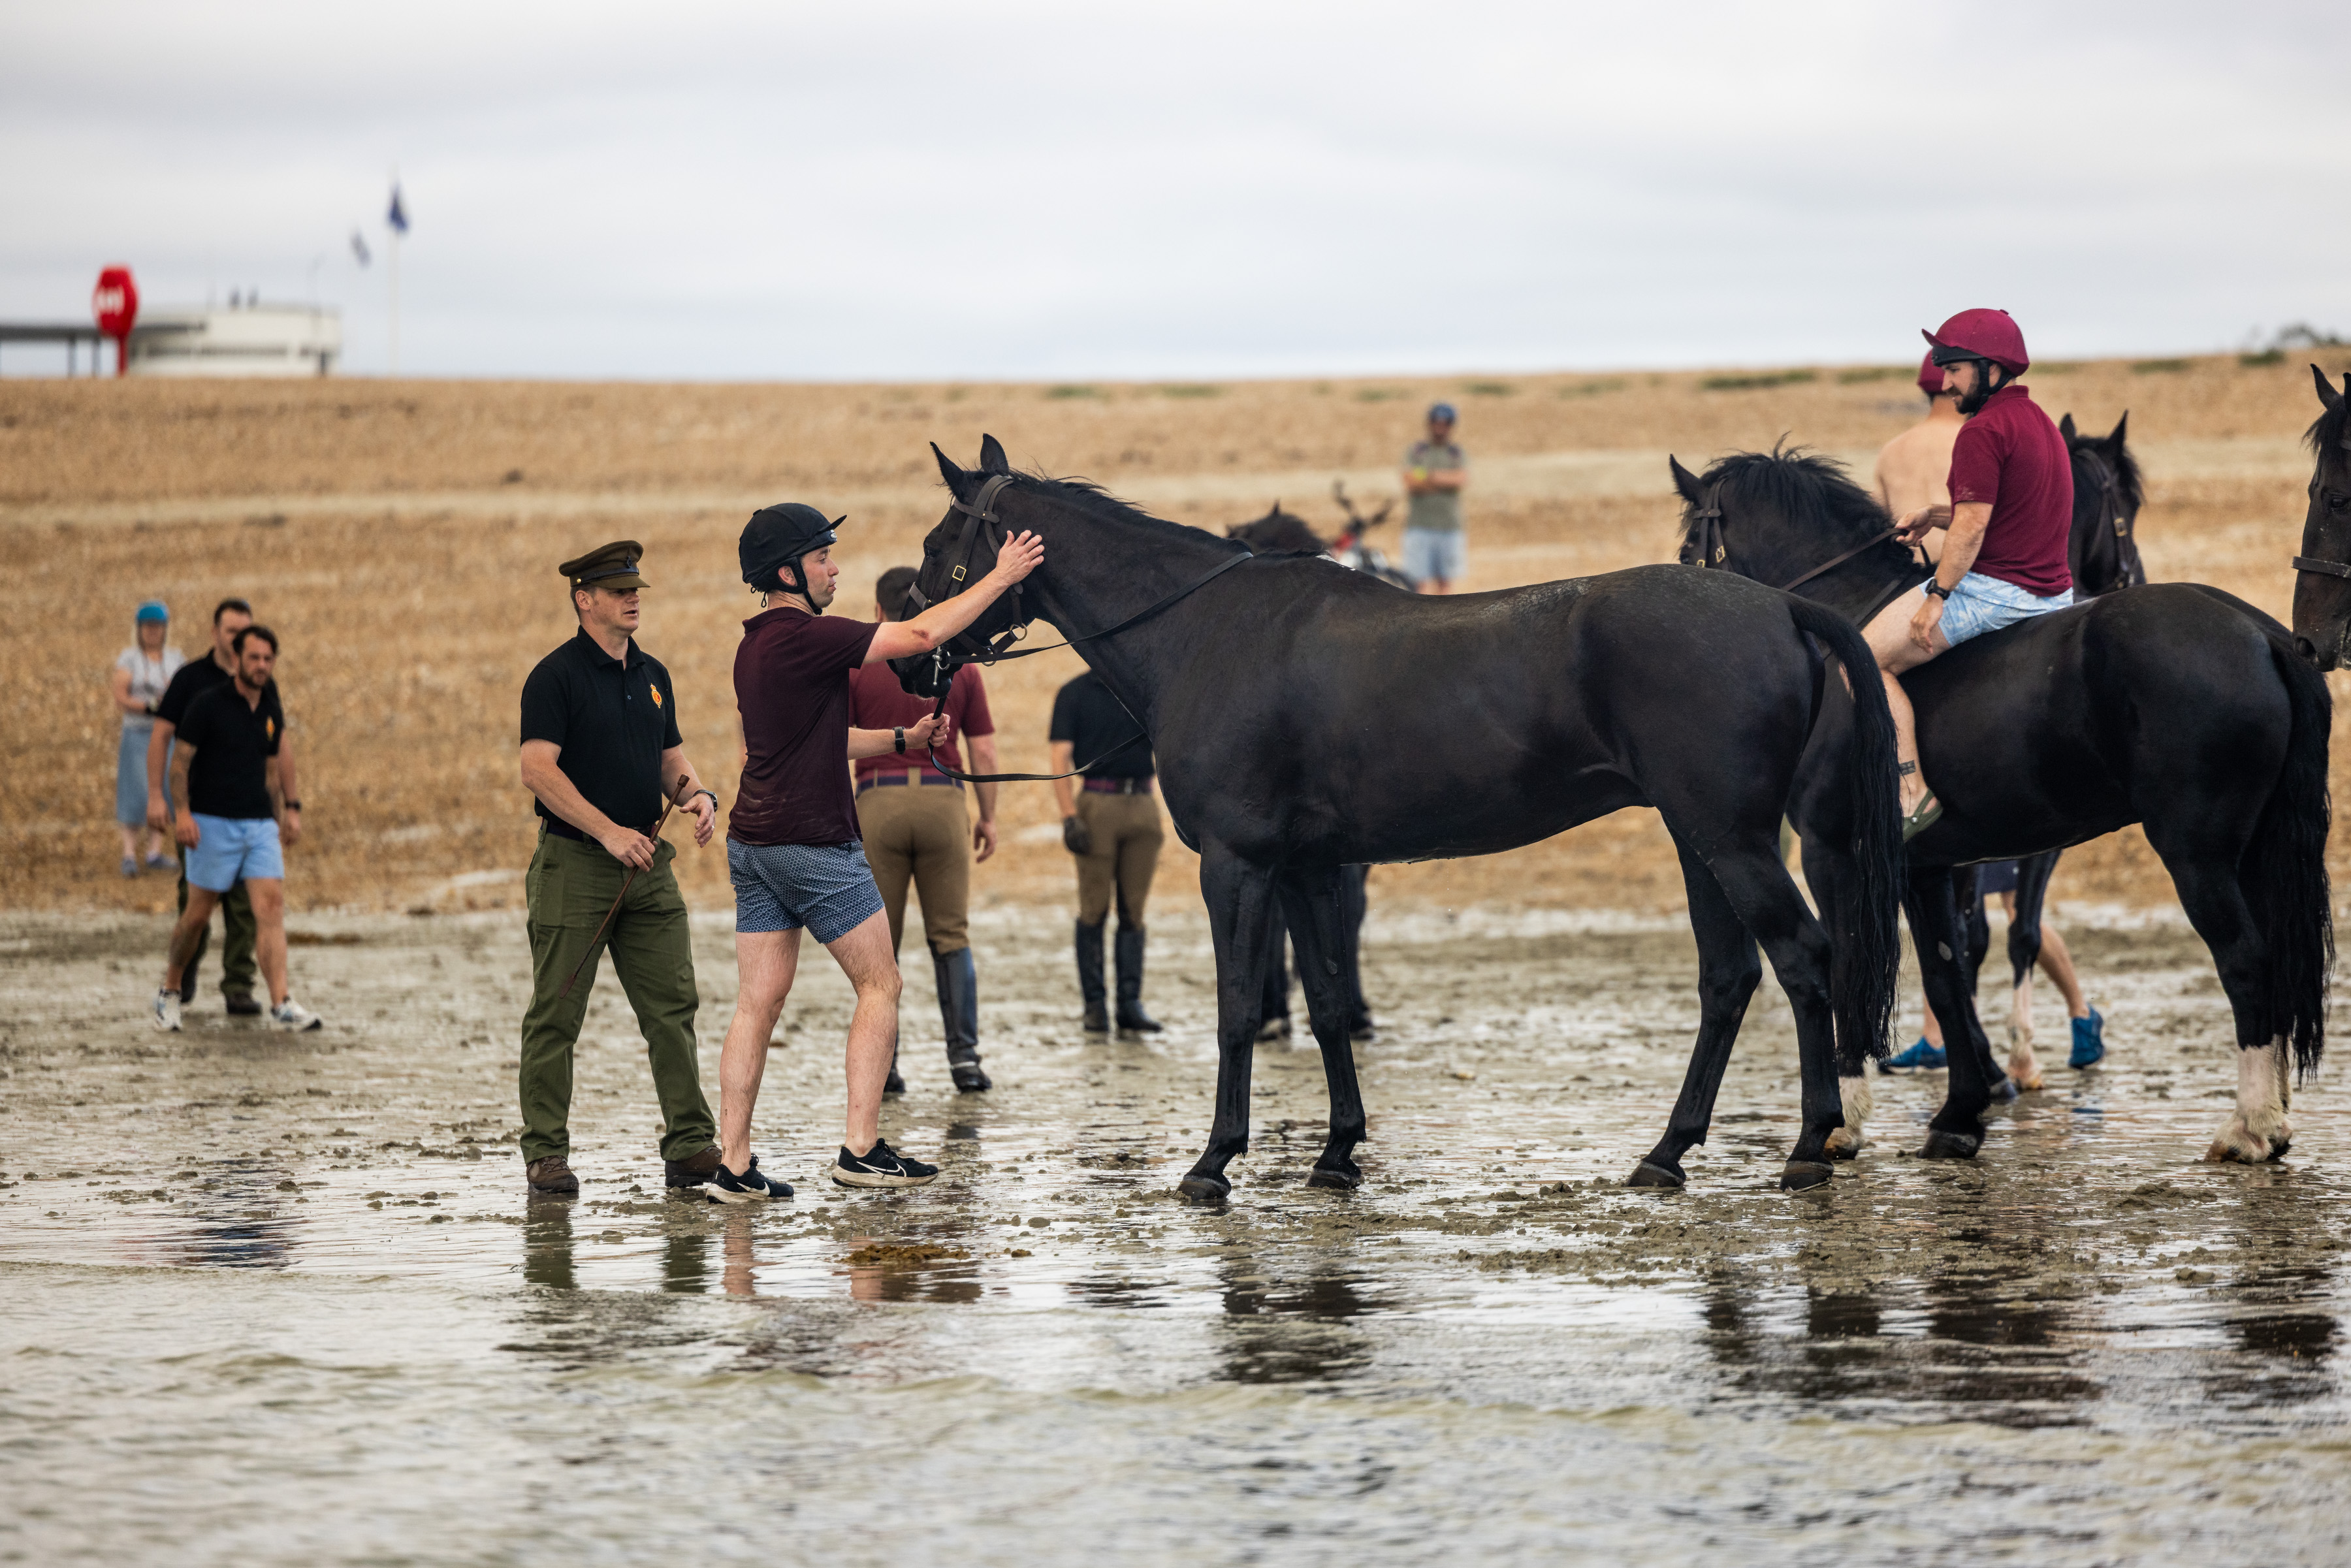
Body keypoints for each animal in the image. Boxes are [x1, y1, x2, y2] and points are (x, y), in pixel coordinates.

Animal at [909, 436, 1905, 1197]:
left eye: (939, 540)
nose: (916, 657)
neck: (1205, 630)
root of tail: (1782, 604)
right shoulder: (1307, 868)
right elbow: (1326, 1005)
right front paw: (1336, 1151)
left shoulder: (1236, 864)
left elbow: (1238, 1009)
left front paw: (1214, 1161)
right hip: (1702, 839)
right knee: (1729, 978)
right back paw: (1668, 1153)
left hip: (1731, 841)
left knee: (1804, 957)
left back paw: (1811, 1143)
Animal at [1667, 446, 2332, 1165]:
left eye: (1687, 550)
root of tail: (2259, 633)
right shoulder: (1924, 869)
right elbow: (1946, 974)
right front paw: (1961, 1111)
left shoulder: (1832, 854)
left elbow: (1849, 964)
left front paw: (1843, 1120)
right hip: (2254, 853)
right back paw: (2276, 1116)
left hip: (2199, 857)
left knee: (2246, 960)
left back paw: (2251, 1124)